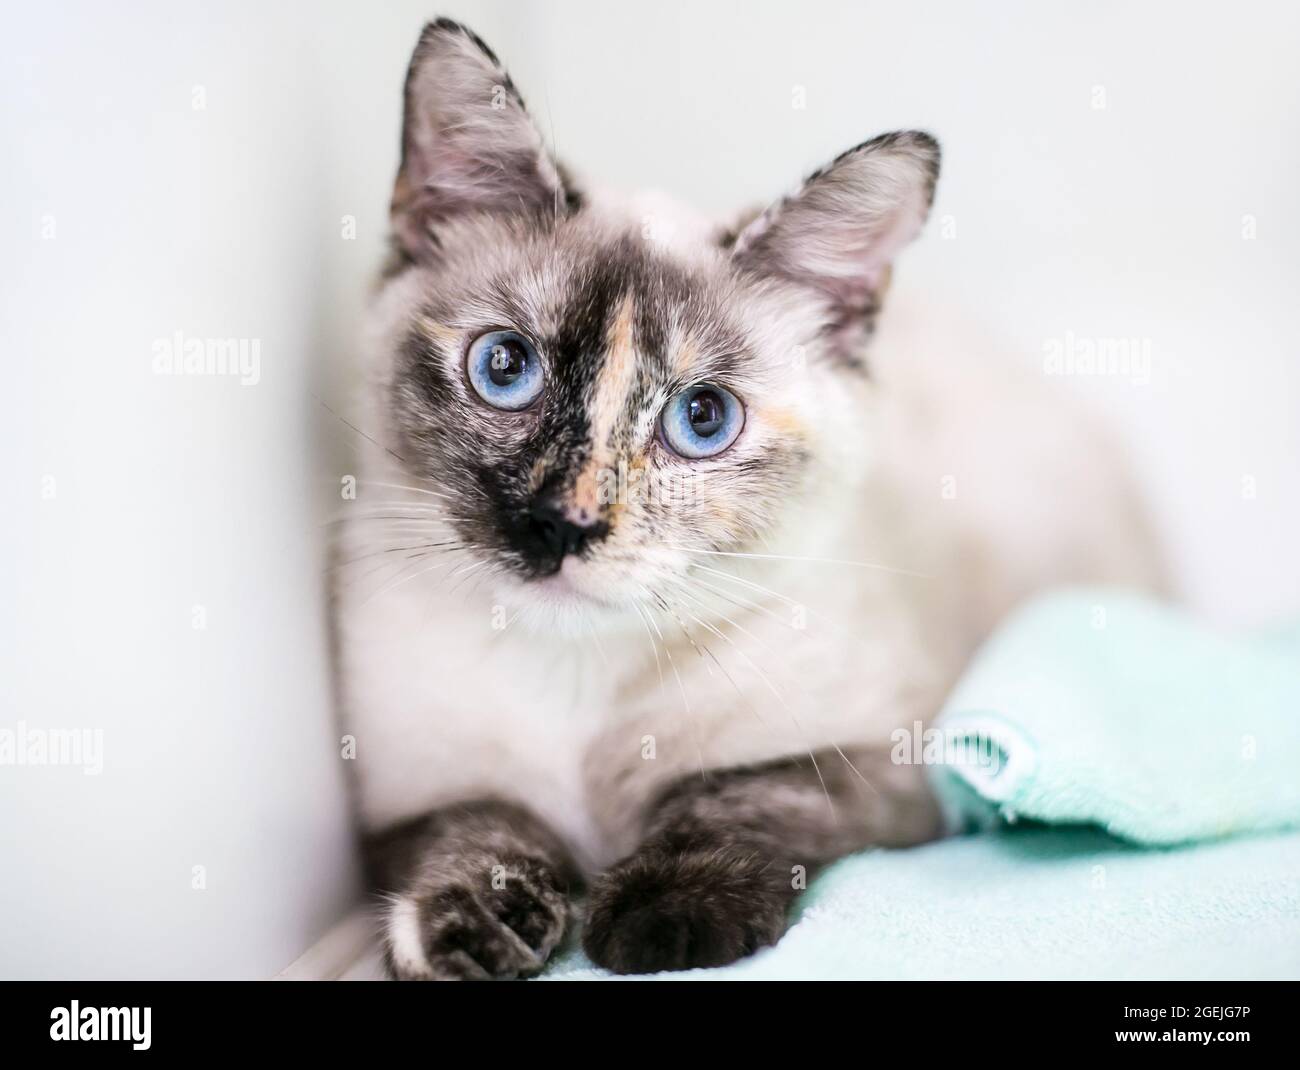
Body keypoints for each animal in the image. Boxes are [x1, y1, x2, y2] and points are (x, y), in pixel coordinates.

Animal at [335, 18, 1170, 988]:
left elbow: (732, 795)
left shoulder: (891, 766)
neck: (572, 678)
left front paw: (662, 921)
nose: (562, 525)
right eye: (504, 367)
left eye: (703, 418)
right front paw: (471, 927)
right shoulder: (405, 797)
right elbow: (481, 825)